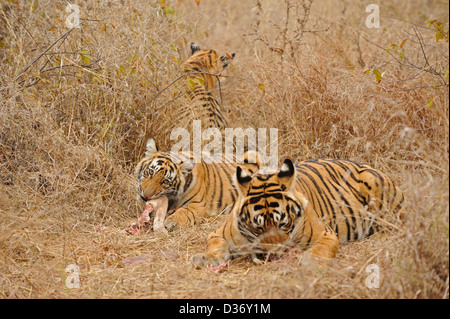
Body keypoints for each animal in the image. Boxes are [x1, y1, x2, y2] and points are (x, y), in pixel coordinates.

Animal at [191, 156, 404, 268]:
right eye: (258, 228)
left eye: (283, 224)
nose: (273, 256)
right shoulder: (217, 233)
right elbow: (216, 246)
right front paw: (205, 258)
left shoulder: (326, 234)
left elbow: (319, 251)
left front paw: (309, 263)